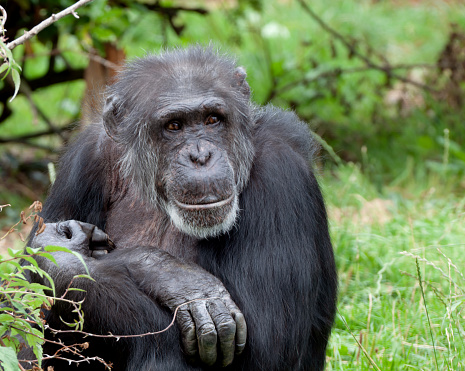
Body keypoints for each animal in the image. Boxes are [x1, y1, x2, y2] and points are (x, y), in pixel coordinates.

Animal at [26, 47, 338, 371]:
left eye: (212, 119)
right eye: (174, 126)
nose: (200, 156)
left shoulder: (279, 171)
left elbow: (266, 350)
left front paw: (63, 259)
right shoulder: (86, 157)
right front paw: (172, 276)